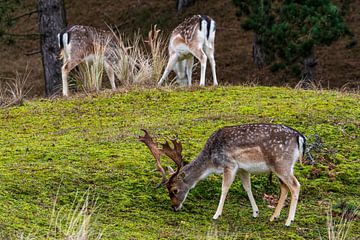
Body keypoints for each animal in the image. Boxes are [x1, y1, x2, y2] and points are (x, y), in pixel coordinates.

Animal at [139, 124, 306, 226]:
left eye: (175, 189)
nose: (174, 207)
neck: (211, 161)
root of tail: (299, 137)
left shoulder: (229, 164)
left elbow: (224, 188)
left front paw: (216, 215)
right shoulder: (242, 169)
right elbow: (247, 187)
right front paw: (255, 212)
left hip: (281, 164)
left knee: (295, 185)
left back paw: (288, 221)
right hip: (282, 167)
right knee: (285, 187)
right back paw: (273, 217)